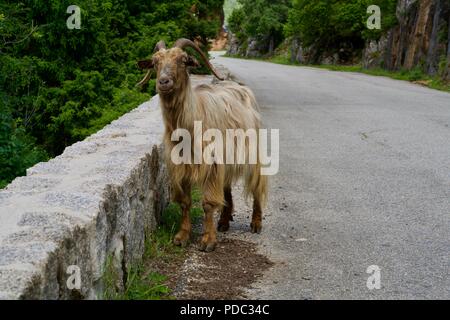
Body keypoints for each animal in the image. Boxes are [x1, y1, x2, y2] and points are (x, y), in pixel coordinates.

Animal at [138, 38, 268, 251]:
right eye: (155, 62)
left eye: (183, 60)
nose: (163, 82)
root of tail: (242, 89)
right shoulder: (182, 166)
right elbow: (185, 202)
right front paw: (182, 236)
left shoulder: (212, 164)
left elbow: (207, 203)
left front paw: (208, 240)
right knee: (227, 187)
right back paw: (223, 221)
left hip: (253, 151)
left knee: (257, 184)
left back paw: (256, 223)